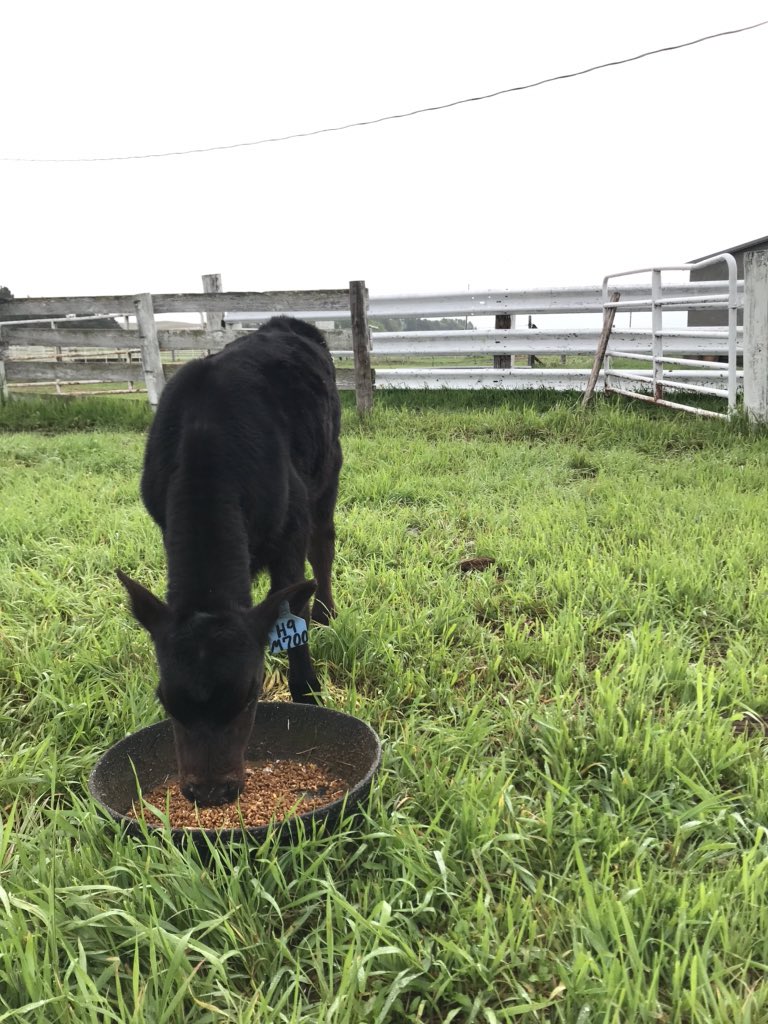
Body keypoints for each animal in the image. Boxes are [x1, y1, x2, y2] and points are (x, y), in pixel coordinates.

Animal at [117, 316, 342, 807]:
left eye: (250, 695)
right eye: (165, 699)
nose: (210, 792)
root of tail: (288, 324)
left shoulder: (291, 529)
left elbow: (292, 607)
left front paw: (308, 692)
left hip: (329, 468)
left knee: (324, 542)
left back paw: (327, 611)